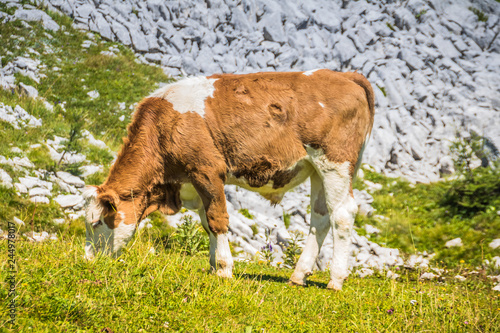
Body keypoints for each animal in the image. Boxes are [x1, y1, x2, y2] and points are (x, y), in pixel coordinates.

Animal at [84, 69, 374, 288]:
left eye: (97, 222)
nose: (88, 261)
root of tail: (345, 76)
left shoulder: (207, 170)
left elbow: (217, 220)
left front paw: (224, 269)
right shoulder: (194, 183)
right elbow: (206, 222)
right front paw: (213, 265)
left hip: (335, 162)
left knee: (343, 214)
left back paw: (336, 280)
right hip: (317, 169)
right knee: (320, 217)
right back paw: (298, 276)